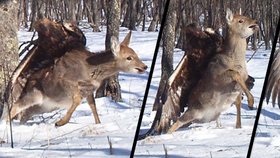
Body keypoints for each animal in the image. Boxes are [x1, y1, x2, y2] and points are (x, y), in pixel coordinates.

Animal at [4, 31, 149, 127]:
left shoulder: (89, 89)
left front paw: (98, 124)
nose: (144, 66)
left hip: (45, 106)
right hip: (34, 94)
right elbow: (78, 100)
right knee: (16, 106)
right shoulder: (67, 81)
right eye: (129, 57)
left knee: (24, 115)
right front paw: (61, 122)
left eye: (136, 54)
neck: (90, 70)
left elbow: (93, 106)